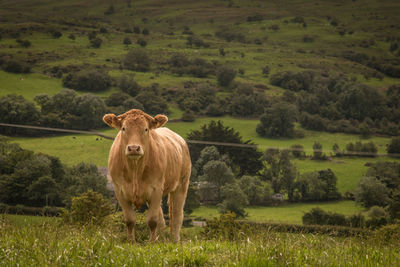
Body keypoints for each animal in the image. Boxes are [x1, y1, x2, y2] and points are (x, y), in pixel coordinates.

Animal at [102, 109, 191, 243]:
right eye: (123, 128)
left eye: (146, 129)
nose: (134, 148)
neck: (135, 171)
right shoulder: (119, 191)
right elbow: (130, 220)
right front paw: (131, 242)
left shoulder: (156, 189)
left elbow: (152, 220)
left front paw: (152, 243)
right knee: (162, 218)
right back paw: (162, 239)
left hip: (182, 184)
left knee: (176, 215)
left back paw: (174, 241)